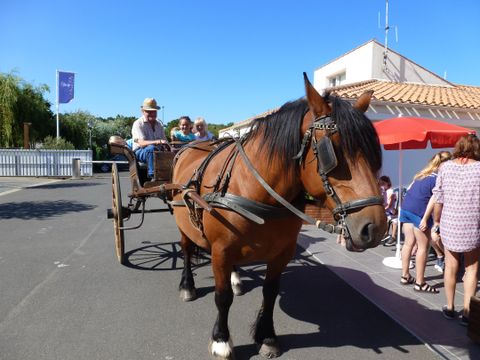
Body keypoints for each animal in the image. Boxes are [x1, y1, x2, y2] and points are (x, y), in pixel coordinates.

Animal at [171, 74, 388, 358]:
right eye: (332, 151)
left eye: (374, 153)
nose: (374, 228)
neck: (258, 192)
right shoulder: (220, 251)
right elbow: (222, 296)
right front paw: (221, 340)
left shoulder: (281, 253)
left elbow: (270, 292)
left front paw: (267, 336)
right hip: (183, 224)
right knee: (186, 249)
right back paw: (187, 285)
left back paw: (236, 277)